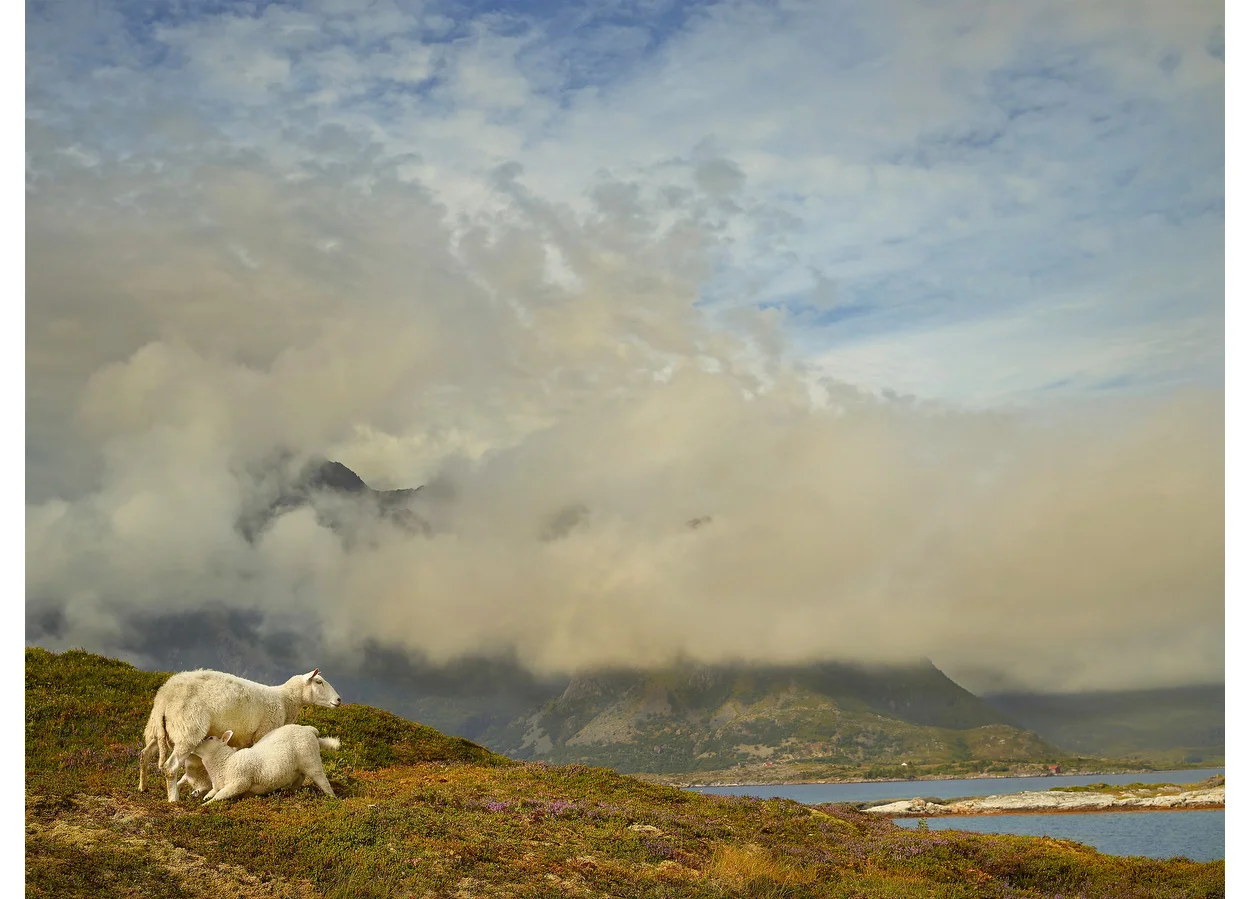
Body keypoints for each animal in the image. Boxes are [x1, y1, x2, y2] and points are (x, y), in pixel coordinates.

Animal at [191, 720, 340, 805]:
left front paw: (205, 804)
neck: (225, 762)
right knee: (300, 777)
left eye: (210, 738)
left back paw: (332, 798)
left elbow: (219, 796)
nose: (194, 744)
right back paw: (291, 792)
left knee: (322, 780)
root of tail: (308, 729)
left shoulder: (238, 783)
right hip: (299, 766)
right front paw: (204, 798)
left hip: (311, 760)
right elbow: (213, 792)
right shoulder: (218, 785)